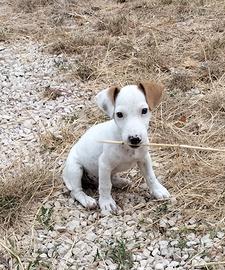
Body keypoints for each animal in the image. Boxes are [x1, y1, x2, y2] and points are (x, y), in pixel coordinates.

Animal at [62, 81, 170, 214]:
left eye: (144, 110)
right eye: (119, 114)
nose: (134, 139)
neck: (126, 146)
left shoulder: (144, 158)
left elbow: (150, 176)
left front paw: (157, 190)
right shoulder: (104, 164)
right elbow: (105, 185)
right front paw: (106, 202)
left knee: (109, 179)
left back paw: (121, 182)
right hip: (75, 169)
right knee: (76, 191)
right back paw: (87, 200)